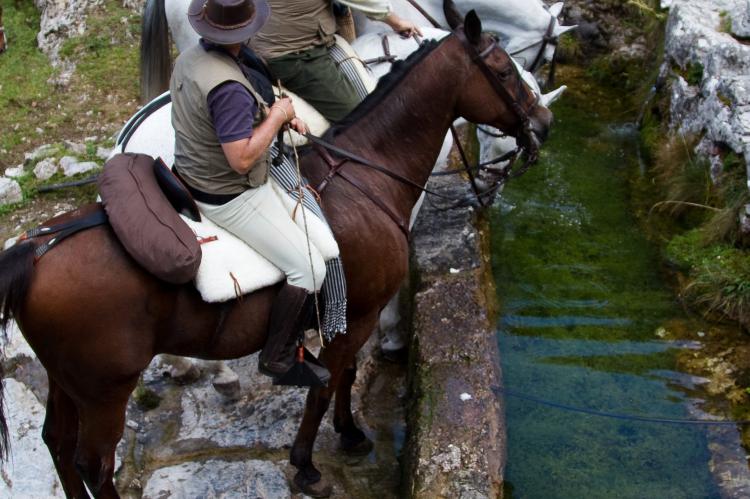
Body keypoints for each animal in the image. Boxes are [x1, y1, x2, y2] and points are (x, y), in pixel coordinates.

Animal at [0, 5, 552, 498]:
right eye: (506, 71)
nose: (543, 123)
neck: (364, 174)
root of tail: (38, 248)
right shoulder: (359, 313)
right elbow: (326, 385)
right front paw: (307, 465)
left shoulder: (350, 312)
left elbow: (345, 374)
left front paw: (350, 433)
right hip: (105, 390)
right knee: (93, 464)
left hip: (67, 381)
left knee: (58, 444)